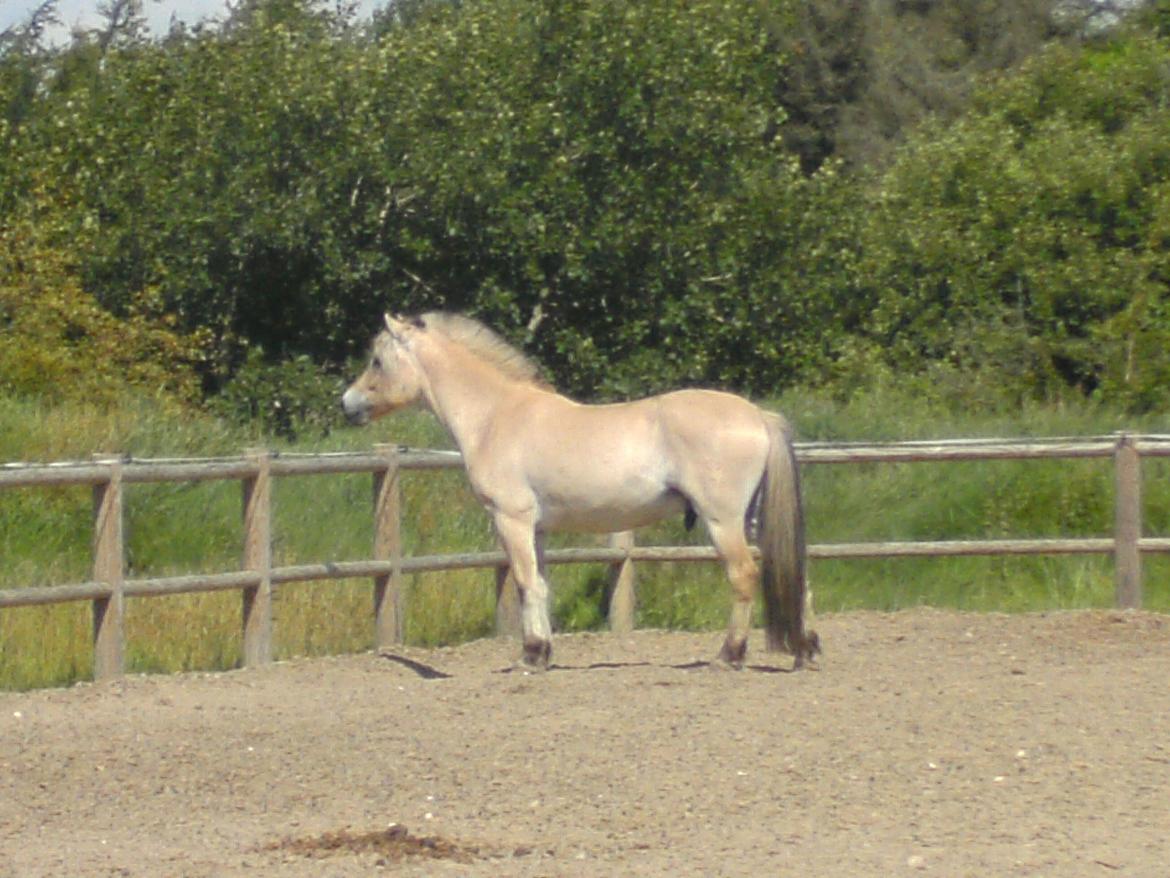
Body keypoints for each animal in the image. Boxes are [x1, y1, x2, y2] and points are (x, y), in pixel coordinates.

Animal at [339, 313, 819, 669]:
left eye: (377, 361)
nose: (346, 404)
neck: (496, 415)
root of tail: (758, 416)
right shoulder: (536, 528)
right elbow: (540, 584)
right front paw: (543, 651)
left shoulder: (511, 520)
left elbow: (525, 583)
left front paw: (532, 656)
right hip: (752, 519)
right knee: (797, 576)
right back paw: (806, 651)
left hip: (723, 522)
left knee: (743, 576)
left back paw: (729, 655)